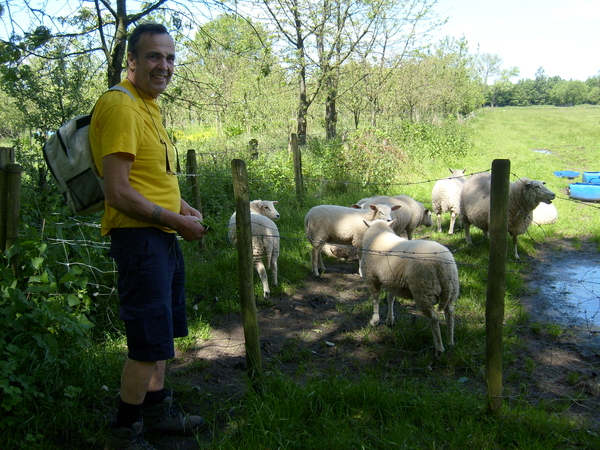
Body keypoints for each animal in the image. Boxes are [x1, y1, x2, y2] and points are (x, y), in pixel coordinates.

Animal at [360, 220, 460, 356]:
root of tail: (443, 265)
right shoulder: (393, 282)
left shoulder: (372, 278)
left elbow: (375, 299)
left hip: (423, 290)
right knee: (449, 314)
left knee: (434, 320)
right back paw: (450, 342)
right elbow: (390, 299)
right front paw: (389, 319)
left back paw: (439, 348)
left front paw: (375, 320)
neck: (379, 234)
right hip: (451, 289)